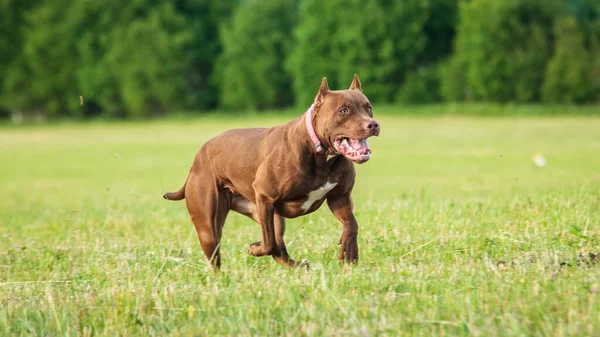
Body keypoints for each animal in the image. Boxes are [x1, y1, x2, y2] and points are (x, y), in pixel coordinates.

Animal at [163, 75, 380, 270]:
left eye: (368, 107)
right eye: (344, 110)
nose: (373, 124)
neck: (319, 153)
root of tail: (196, 160)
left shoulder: (339, 197)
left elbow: (351, 224)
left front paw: (349, 252)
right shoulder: (265, 195)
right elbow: (268, 243)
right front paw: (254, 248)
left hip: (271, 216)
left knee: (278, 249)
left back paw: (298, 266)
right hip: (210, 226)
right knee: (224, 257)